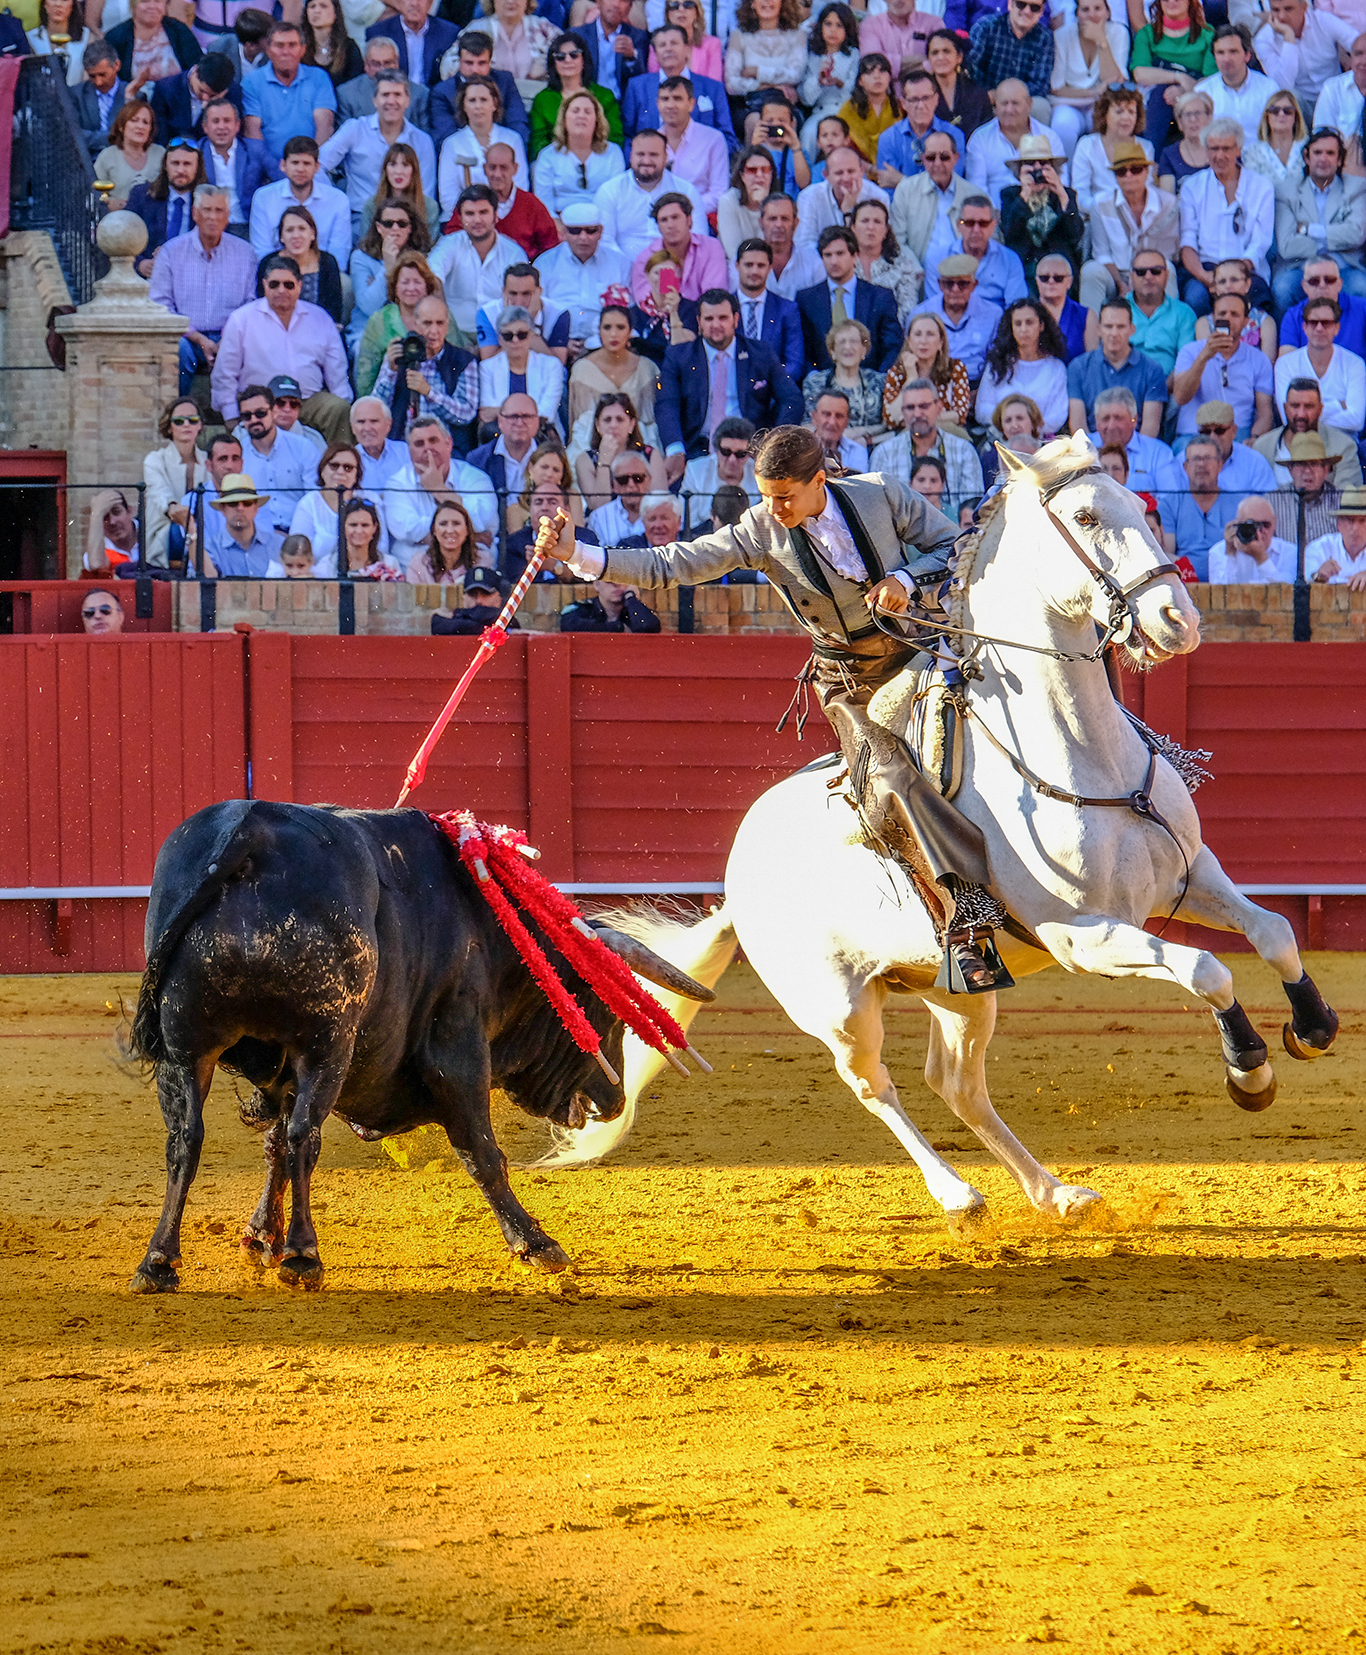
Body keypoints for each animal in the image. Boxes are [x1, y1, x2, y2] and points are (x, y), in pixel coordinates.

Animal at [127, 801, 715, 1290]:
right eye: (600, 1007)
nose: (615, 1102)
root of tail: (252, 831)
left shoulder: (281, 1070)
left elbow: (270, 1145)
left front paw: (259, 1238)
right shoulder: (458, 1046)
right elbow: (481, 1151)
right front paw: (536, 1244)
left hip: (186, 1049)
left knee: (187, 1139)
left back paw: (158, 1263)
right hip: (327, 1043)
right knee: (302, 1138)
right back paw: (304, 1256)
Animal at [539, 440, 1331, 1231]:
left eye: (1140, 505)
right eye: (1084, 517)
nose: (1178, 619)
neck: (1079, 749)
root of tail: (736, 881)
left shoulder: (1188, 878)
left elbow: (1273, 931)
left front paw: (1313, 1026)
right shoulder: (1084, 936)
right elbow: (1208, 969)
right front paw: (1250, 1069)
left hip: (957, 984)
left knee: (955, 1082)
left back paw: (1054, 1192)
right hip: (837, 1006)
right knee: (874, 1085)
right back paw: (957, 1193)